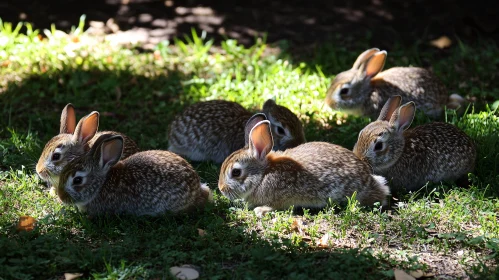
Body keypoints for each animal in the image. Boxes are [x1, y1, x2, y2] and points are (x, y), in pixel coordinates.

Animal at [219, 119, 390, 218]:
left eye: (236, 172)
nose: (221, 189)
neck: (263, 174)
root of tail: (370, 179)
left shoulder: (281, 198)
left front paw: (260, 210)